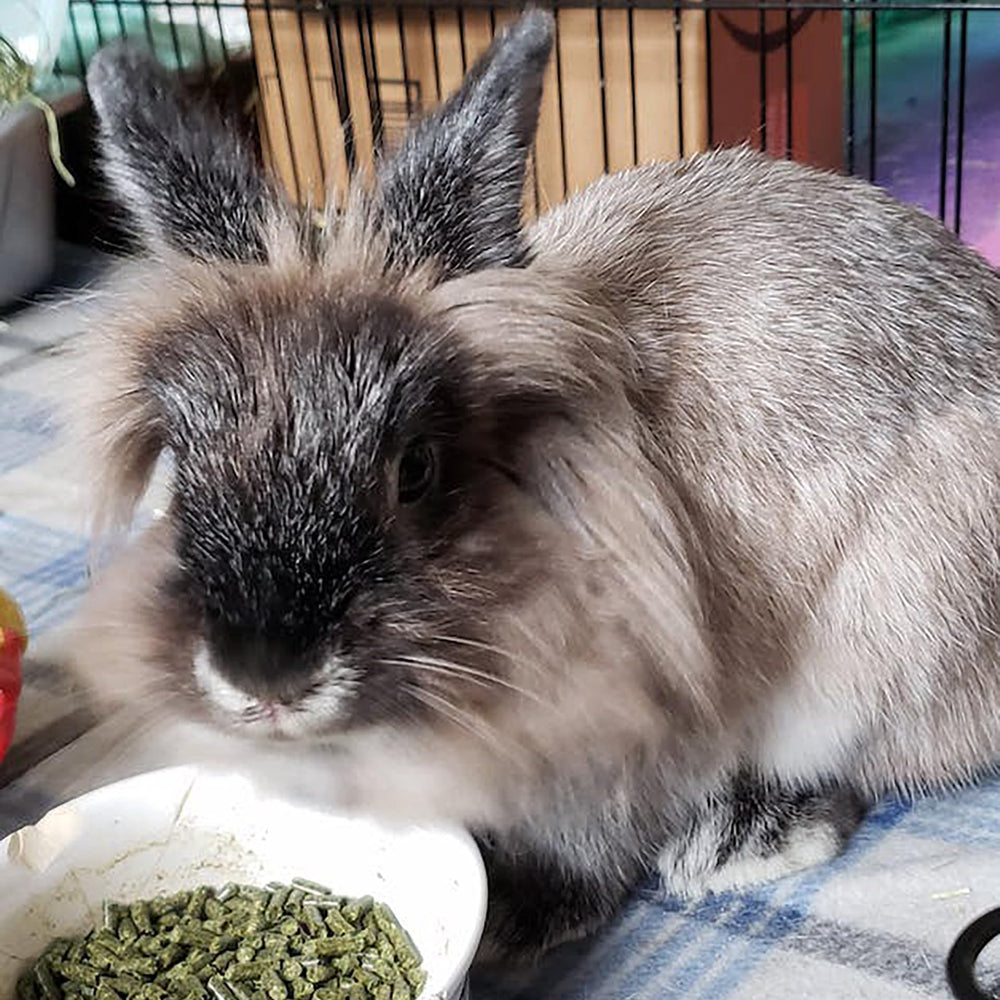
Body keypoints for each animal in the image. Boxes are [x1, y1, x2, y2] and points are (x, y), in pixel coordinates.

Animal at [66, 7, 1000, 964]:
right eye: (183, 470)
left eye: (415, 468)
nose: (265, 680)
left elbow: (591, 839)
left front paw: (518, 917)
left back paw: (744, 840)